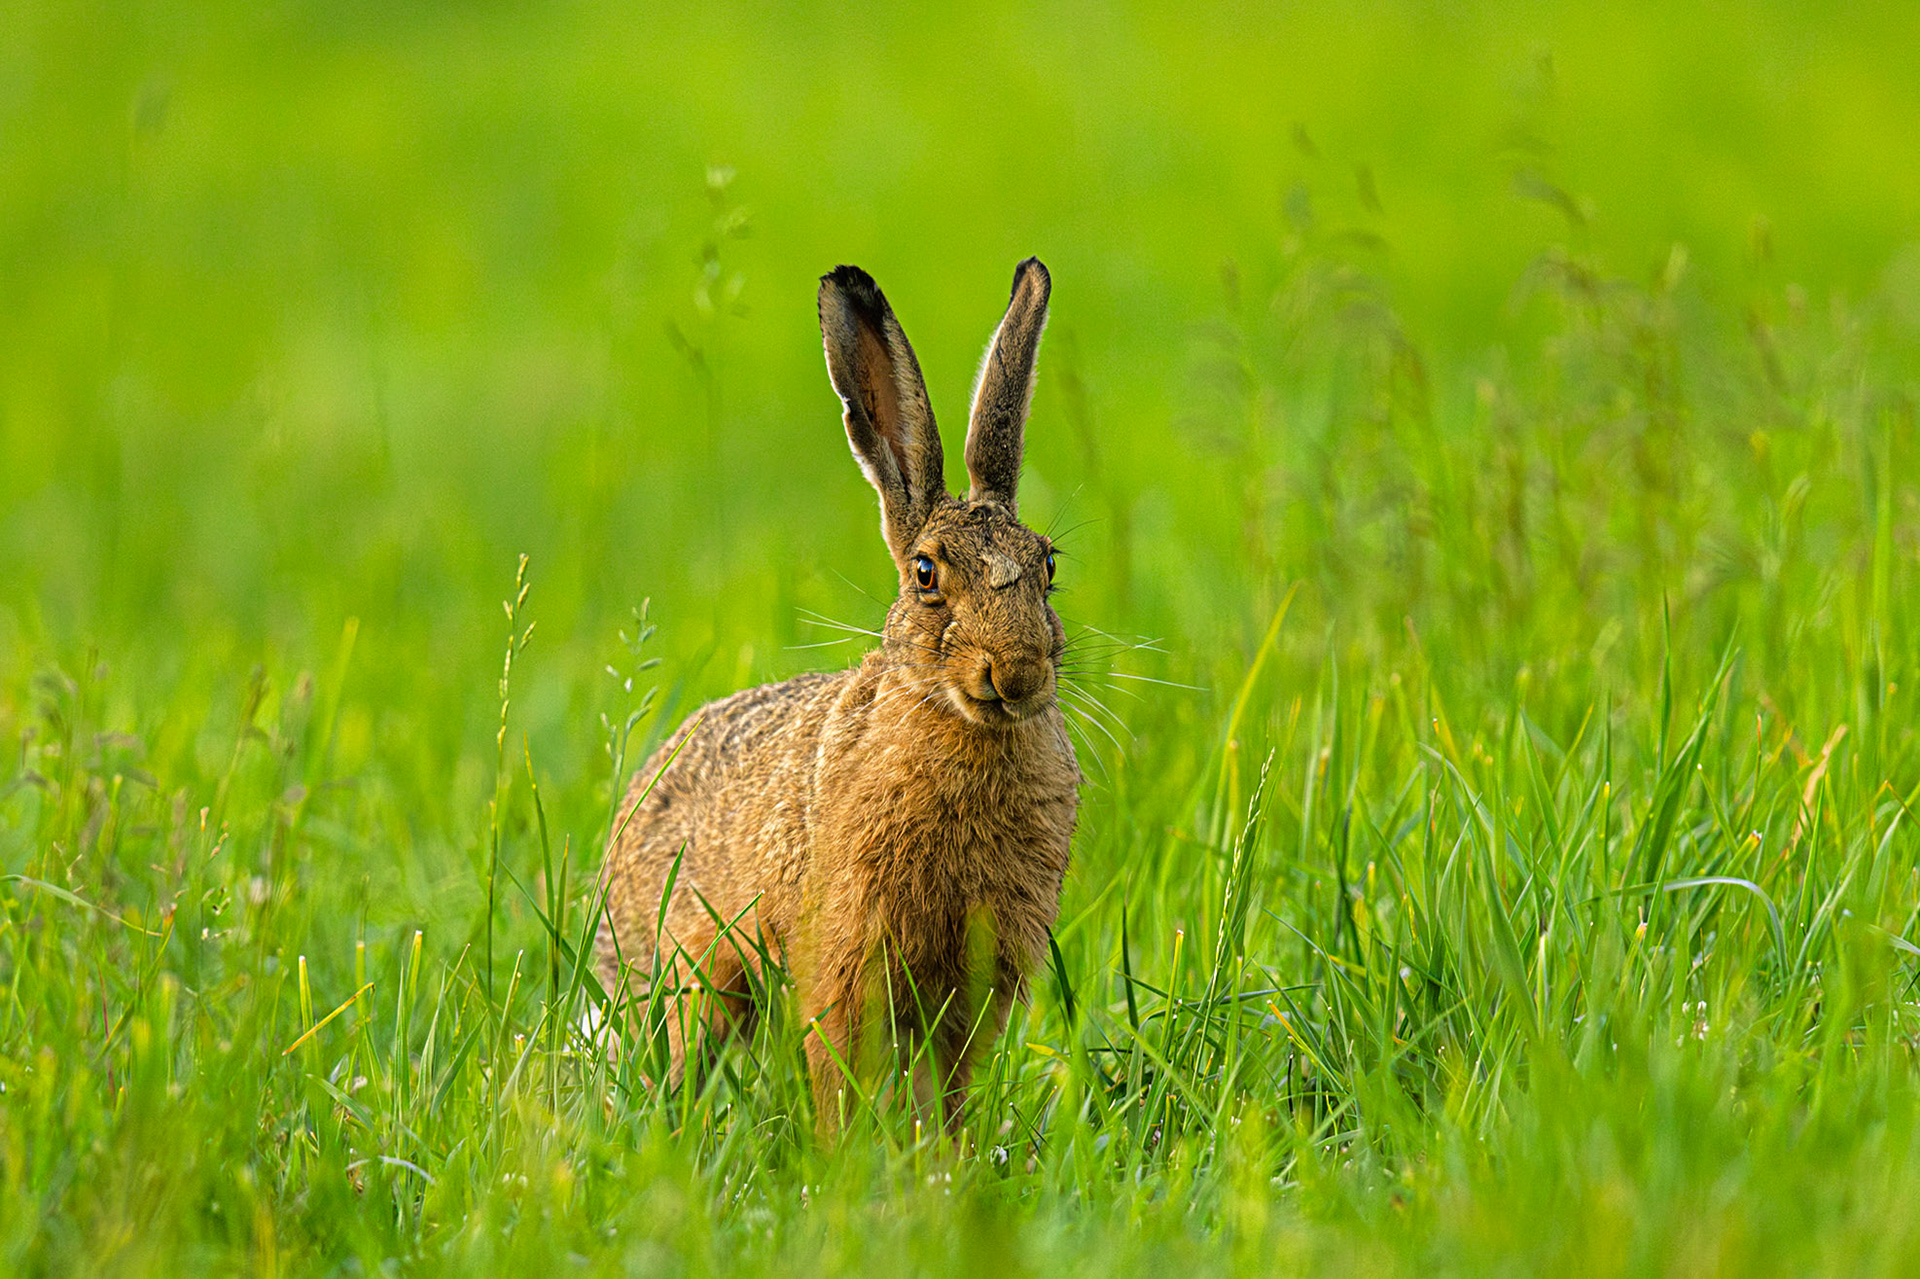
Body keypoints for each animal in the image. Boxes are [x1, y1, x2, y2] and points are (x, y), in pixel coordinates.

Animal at [594, 258, 1079, 1136]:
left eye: (1048, 566)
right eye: (925, 573)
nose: (1017, 671)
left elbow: (948, 1086)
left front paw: (942, 1156)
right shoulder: (846, 955)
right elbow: (838, 1066)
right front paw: (846, 1154)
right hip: (692, 975)